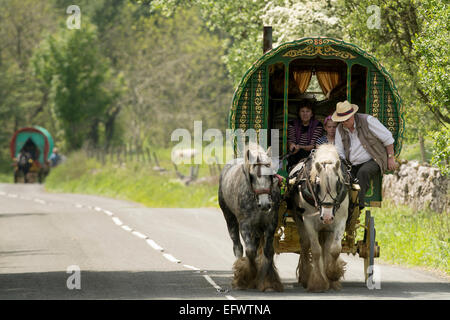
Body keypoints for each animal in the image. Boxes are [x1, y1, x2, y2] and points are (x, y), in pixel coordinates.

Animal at [219, 144, 284, 292]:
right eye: (253, 176)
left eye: (270, 175)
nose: (265, 204)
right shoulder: (245, 224)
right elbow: (250, 251)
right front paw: (249, 277)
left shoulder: (270, 223)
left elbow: (268, 251)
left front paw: (268, 281)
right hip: (230, 219)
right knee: (238, 247)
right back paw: (239, 270)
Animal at [290, 145, 350, 292]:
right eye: (317, 185)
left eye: (338, 184)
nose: (327, 217)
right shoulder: (308, 221)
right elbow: (316, 251)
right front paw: (318, 282)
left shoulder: (340, 220)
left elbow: (335, 249)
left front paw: (333, 274)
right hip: (301, 221)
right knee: (305, 244)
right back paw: (305, 276)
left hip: (327, 228)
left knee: (327, 246)